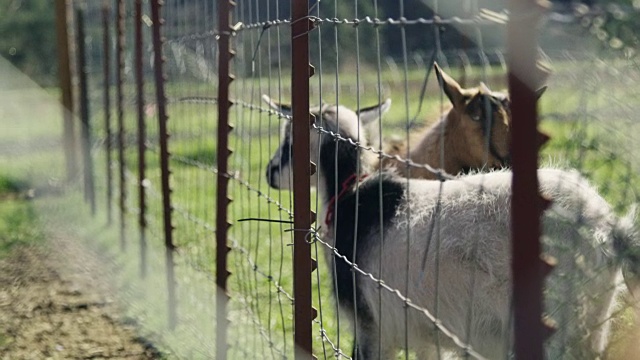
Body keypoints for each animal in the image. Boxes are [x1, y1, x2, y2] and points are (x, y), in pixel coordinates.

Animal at [262, 94, 640, 358]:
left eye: (288, 140)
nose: (269, 173)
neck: (350, 198)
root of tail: (609, 228)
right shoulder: (423, 331)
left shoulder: (372, 323)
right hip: (589, 322)